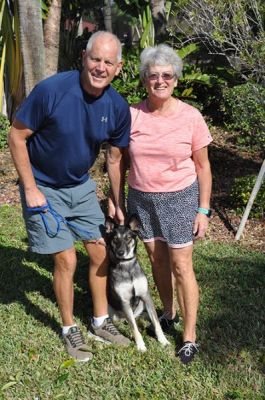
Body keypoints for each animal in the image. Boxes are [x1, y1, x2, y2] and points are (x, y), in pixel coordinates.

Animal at [104, 216, 168, 350]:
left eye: (128, 238)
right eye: (115, 239)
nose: (121, 252)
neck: (127, 266)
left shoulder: (146, 296)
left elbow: (156, 321)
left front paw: (163, 340)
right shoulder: (124, 301)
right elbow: (134, 327)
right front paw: (140, 346)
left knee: (141, 316)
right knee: (127, 320)